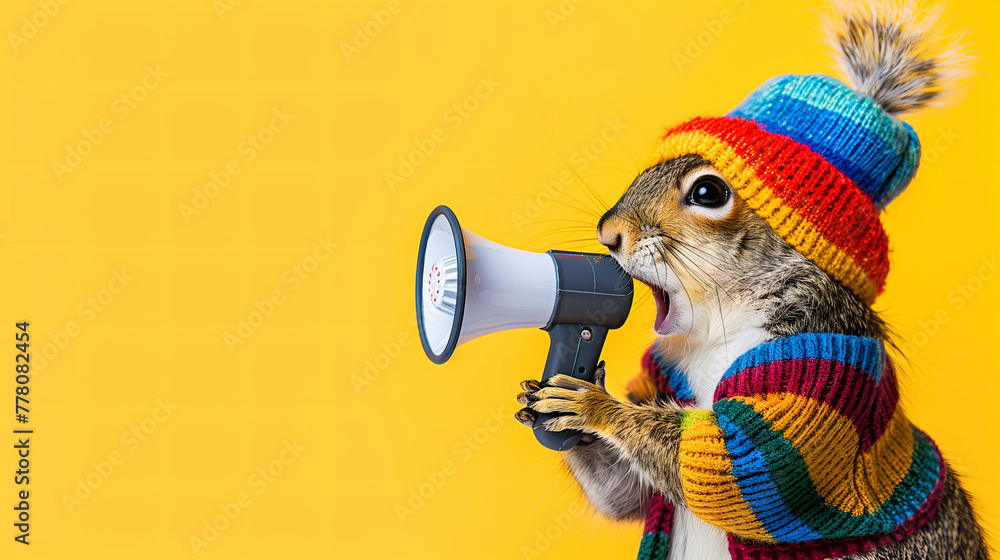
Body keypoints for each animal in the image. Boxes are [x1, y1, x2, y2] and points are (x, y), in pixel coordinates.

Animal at [514, 1, 989, 559]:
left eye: (708, 192)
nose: (608, 233)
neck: (716, 330)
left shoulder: (825, 377)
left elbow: (732, 464)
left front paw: (590, 402)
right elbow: (624, 495)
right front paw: (551, 395)